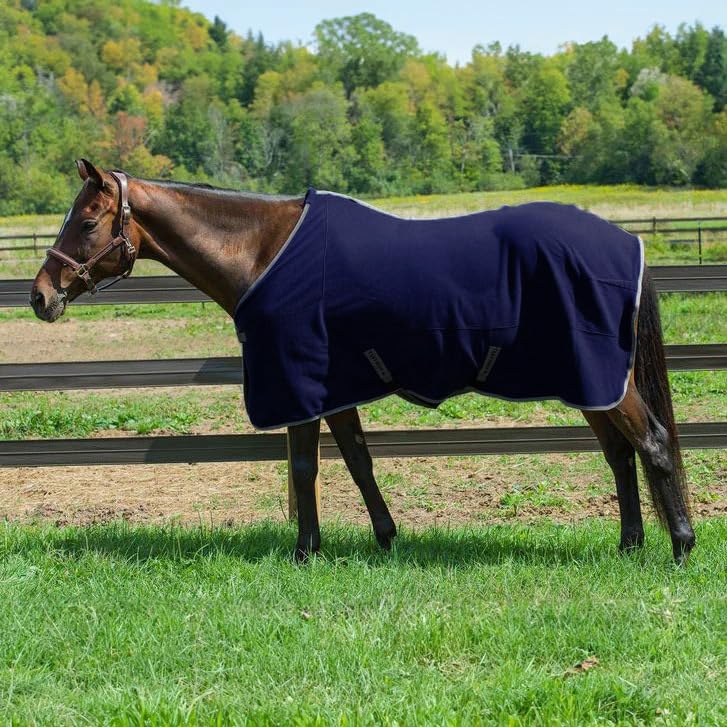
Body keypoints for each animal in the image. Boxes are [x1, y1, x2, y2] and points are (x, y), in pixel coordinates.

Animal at [30, 160, 695, 563]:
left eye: (86, 222)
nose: (40, 296)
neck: (264, 251)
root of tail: (625, 242)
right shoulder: (333, 387)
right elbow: (356, 461)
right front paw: (384, 537)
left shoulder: (298, 381)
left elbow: (305, 468)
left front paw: (305, 551)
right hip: (590, 381)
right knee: (619, 455)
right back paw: (630, 544)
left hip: (603, 379)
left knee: (652, 443)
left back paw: (681, 545)